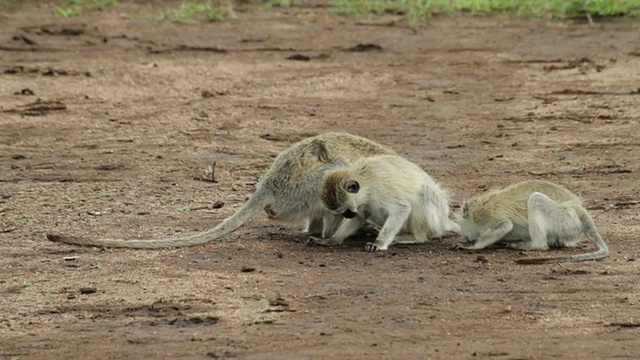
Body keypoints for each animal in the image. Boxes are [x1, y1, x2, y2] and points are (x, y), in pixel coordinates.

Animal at [310, 153, 460, 252]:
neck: (366, 181)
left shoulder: (382, 189)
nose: (347, 215)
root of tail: (443, 220)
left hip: (434, 219)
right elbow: (360, 217)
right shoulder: (361, 204)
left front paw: (379, 244)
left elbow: (401, 208)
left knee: (425, 193)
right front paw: (331, 240)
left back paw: (415, 237)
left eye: (346, 211)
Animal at [452, 180, 608, 264]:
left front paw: (471, 245)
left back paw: (532, 245)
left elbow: (505, 225)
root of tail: (579, 209)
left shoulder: (484, 216)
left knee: (536, 199)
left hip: (566, 222)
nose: (468, 238)